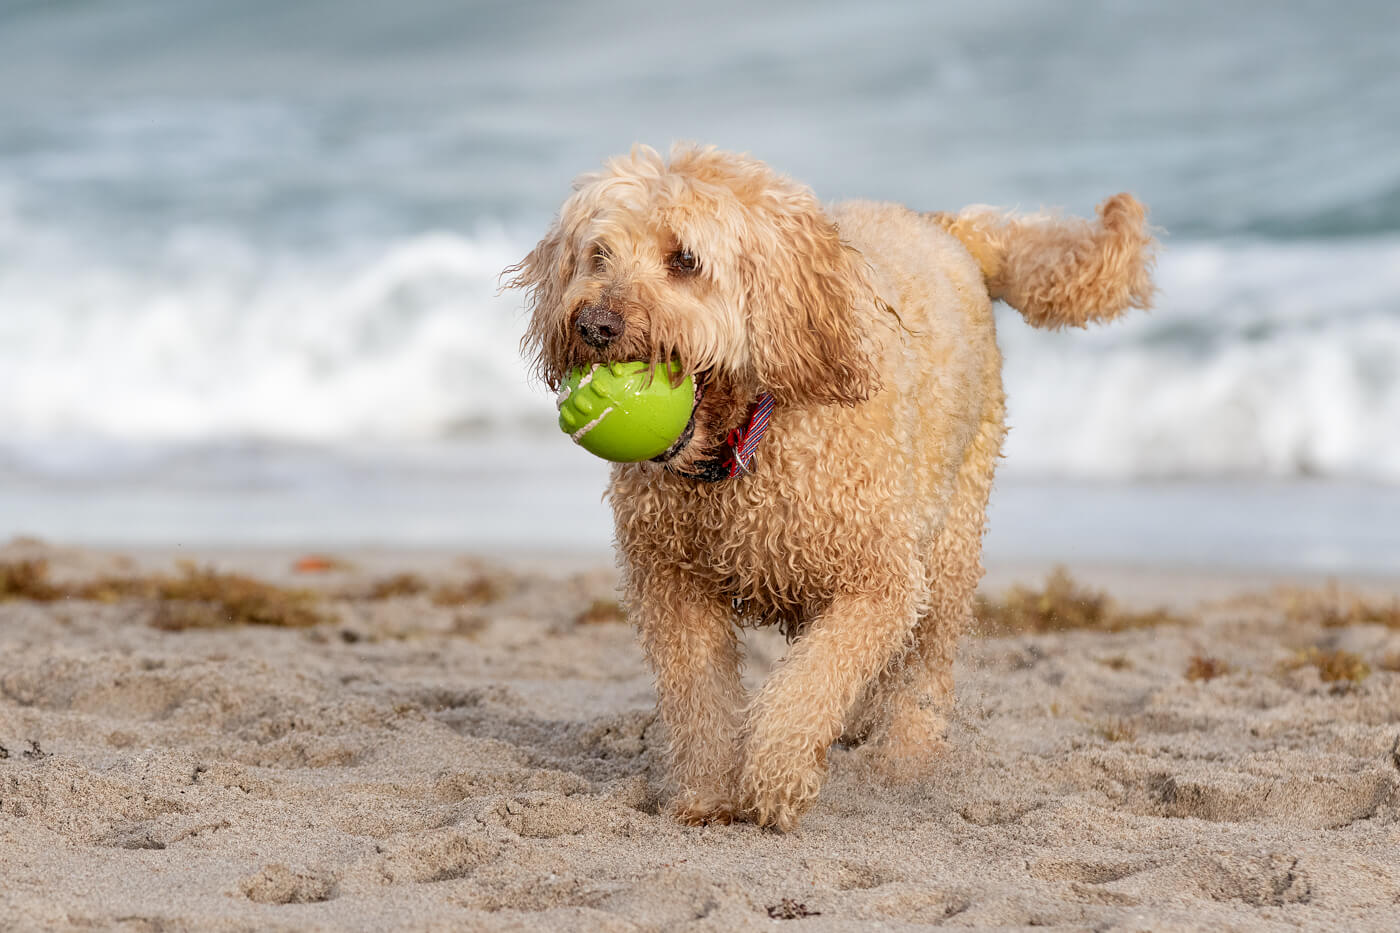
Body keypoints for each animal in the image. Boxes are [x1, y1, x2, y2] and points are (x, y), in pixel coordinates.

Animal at [509, 145, 1153, 829]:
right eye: (597, 255)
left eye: (685, 260)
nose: (595, 325)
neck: (743, 448)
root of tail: (942, 225)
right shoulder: (670, 583)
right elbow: (698, 697)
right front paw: (707, 794)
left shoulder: (880, 581)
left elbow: (811, 683)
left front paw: (776, 775)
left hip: (951, 539)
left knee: (925, 664)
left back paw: (905, 759)